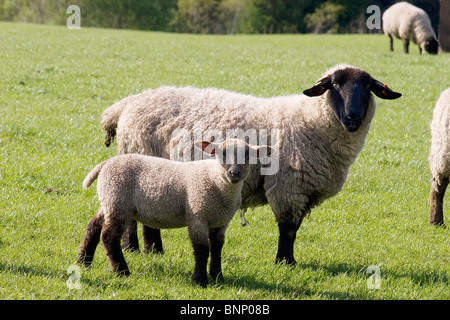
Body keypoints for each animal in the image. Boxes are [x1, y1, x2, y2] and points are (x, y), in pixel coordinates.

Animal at [76, 139, 270, 286]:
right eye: (220, 153)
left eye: (248, 154)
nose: (234, 173)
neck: (216, 179)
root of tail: (106, 163)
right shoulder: (197, 215)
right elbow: (202, 248)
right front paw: (200, 280)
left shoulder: (221, 222)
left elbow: (217, 248)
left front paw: (217, 276)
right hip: (118, 202)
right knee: (109, 236)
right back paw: (121, 271)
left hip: (109, 201)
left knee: (93, 225)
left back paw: (83, 262)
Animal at [98, 63, 400, 264]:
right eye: (334, 85)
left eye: (368, 88)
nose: (352, 118)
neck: (310, 121)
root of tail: (125, 105)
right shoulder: (288, 188)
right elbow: (288, 230)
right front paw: (285, 263)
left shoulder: (303, 190)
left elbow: (295, 229)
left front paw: (287, 261)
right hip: (139, 156)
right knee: (134, 216)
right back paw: (136, 248)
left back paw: (152, 250)